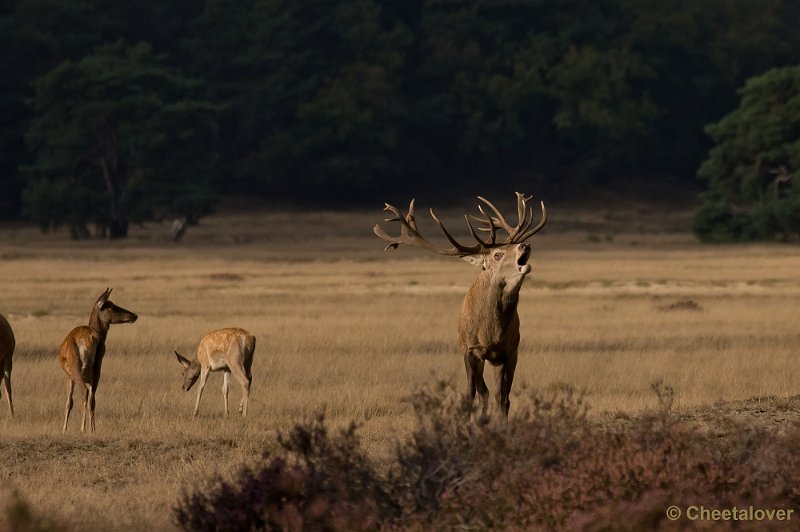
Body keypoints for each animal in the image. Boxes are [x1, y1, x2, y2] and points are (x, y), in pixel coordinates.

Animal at [60, 290, 138, 432]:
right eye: (111, 306)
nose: (134, 315)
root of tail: (89, 338)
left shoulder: (69, 376)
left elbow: (69, 401)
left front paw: (64, 429)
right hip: (96, 367)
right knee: (92, 398)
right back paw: (92, 429)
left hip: (78, 370)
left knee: (85, 392)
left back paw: (83, 428)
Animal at [376, 191, 544, 416]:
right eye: (498, 254)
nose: (525, 245)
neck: (489, 332)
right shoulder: (468, 349)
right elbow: (472, 394)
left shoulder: (509, 350)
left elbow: (503, 398)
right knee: (484, 392)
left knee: (498, 395)